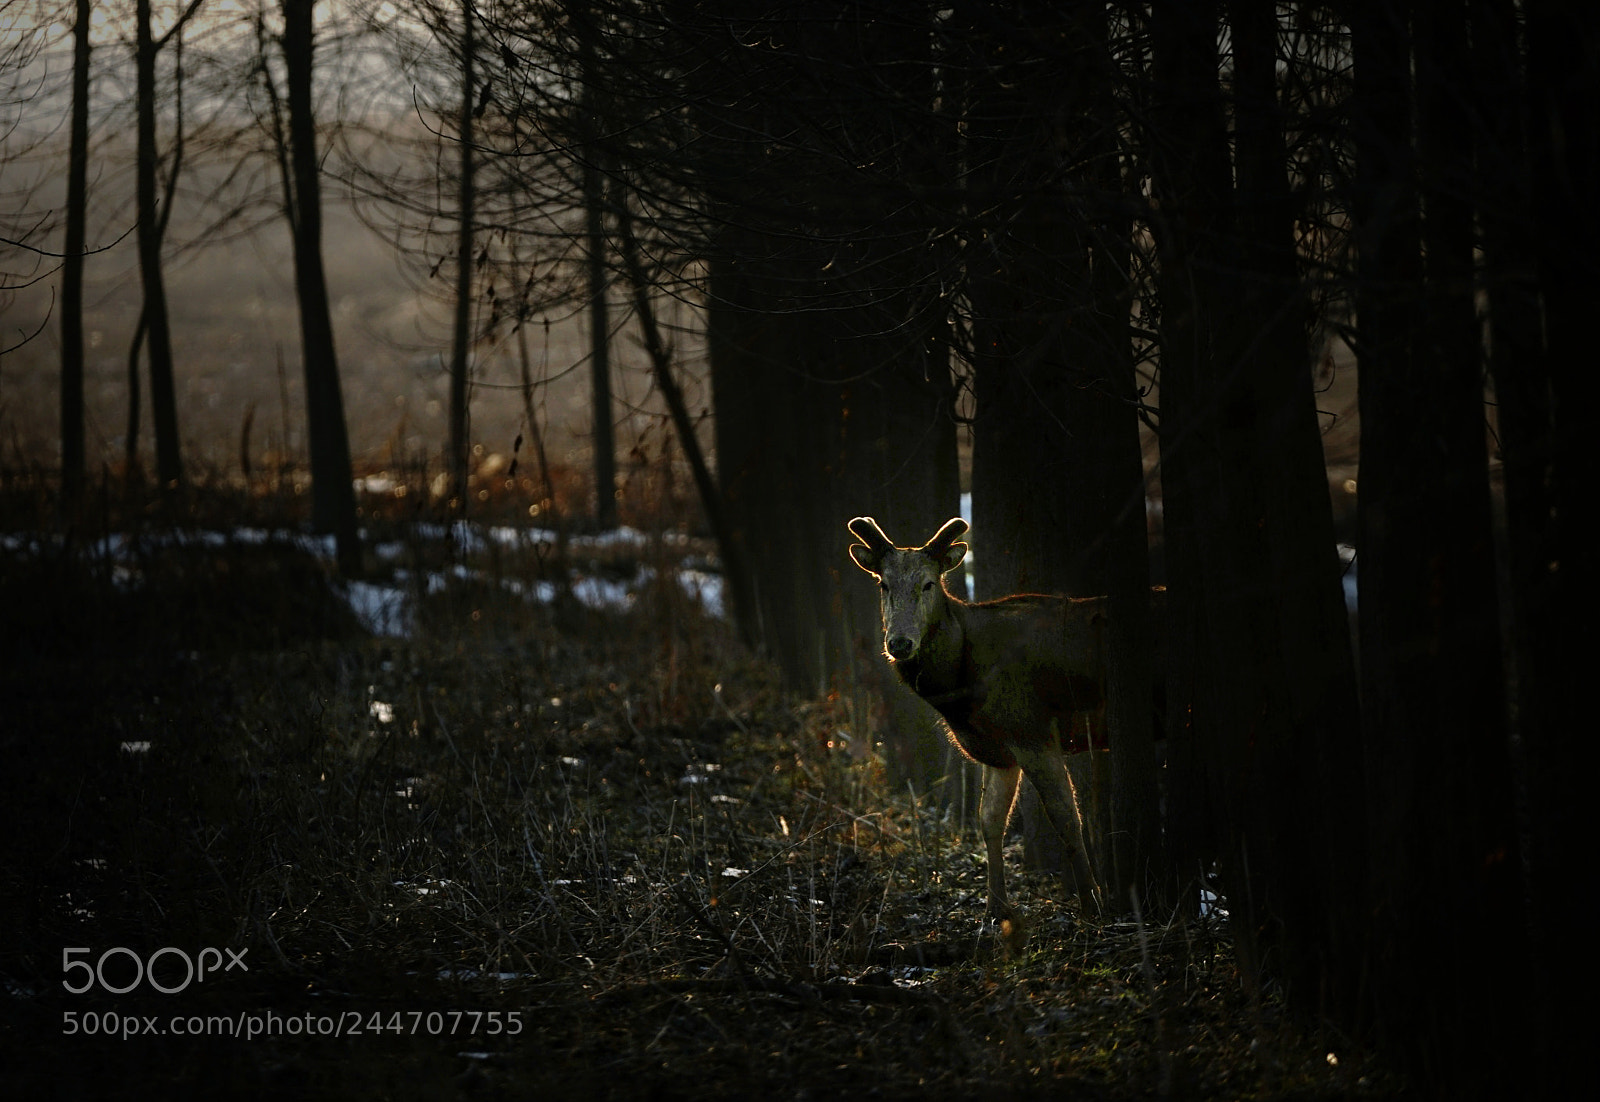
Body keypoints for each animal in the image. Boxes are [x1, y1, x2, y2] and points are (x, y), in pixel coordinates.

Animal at [847, 515, 1113, 925]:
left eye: (929, 583)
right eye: (883, 583)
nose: (900, 643)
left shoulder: (1030, 728)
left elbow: (1067, 818)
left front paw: (1092, 908)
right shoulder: (999, 749)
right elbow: (989, 820)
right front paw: (996, 909)